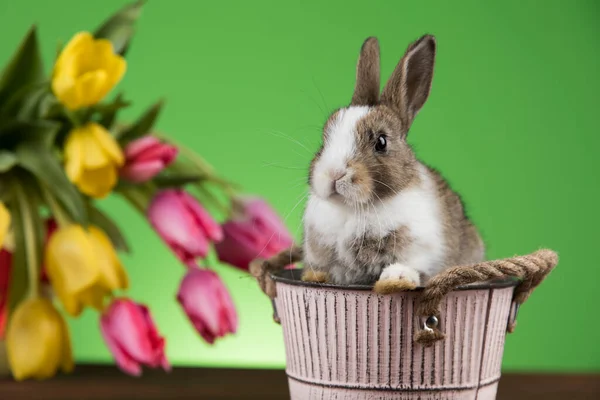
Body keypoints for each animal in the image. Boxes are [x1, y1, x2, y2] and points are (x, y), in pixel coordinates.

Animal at [300, 34, 488, 292]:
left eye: (381, 142)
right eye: (325, 137)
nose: (334, 174)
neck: (353, 208)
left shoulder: (419, 246)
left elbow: (409, 265)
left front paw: (395, 280)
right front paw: (314, 276)